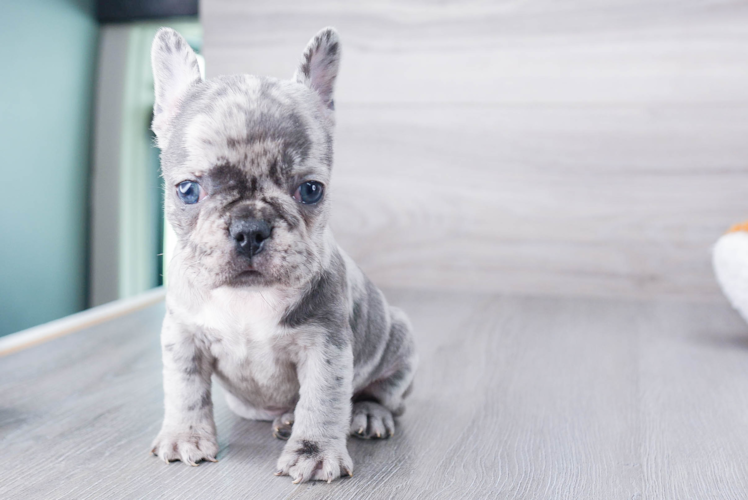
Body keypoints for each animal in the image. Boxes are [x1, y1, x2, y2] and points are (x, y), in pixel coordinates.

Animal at [149, 27, 418, 484]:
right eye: (187, 190)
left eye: (311, 190)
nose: (249, 229)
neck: (246, 298)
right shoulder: (182, 337)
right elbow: (185, 389)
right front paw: (185, 434)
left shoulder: (325, 346)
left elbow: (323, 400)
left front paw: (314, 451)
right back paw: (287, 418)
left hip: (399, 340)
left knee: (385, 395)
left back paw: (365, 413)